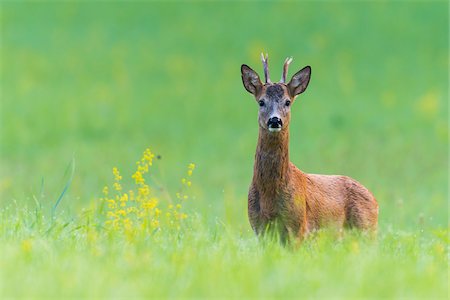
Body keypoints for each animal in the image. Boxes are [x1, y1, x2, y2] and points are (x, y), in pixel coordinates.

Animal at [241, 54, 378, 241]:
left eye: (287, 102)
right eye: (261, 102)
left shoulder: (298, 226)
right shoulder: (258, 227)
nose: (275, 120)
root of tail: (375, 200)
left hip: (366, 228)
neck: (269, 195)